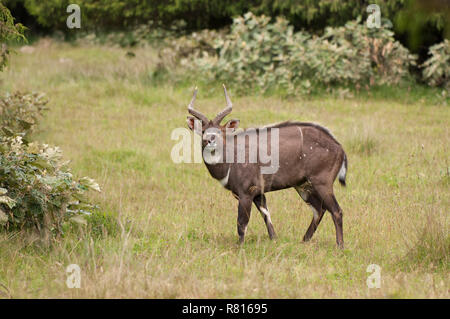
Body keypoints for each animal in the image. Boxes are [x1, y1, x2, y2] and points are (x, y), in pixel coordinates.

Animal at [186, 85, 348, 250]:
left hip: (322, 183)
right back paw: (304, 241)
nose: (209, 140)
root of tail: (339, 148)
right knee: (319, 209)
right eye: (203, 130)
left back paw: (340, 246)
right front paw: (274, 240)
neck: (231, 158)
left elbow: (242, 223)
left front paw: (240, 247)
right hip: (303, 186)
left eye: (220, 131)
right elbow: (267, 216)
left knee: (336, 211)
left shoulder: (246, 193)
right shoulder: (258, 193)